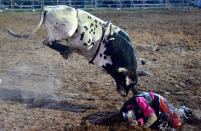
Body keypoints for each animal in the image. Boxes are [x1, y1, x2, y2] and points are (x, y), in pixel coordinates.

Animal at [3, 5, 151, 96]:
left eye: (132, 83)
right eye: (122, 79)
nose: (123, 94)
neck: (114, 42)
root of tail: (51, 7)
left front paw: (139, 93)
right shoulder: (107, 64)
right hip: (66, 30)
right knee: (48, 41)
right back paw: (66, 50)